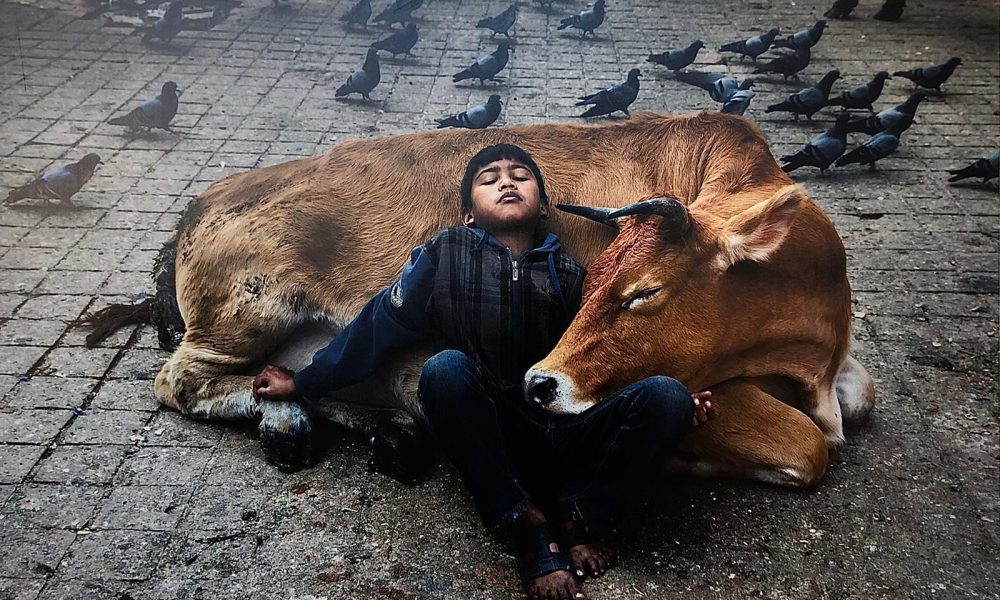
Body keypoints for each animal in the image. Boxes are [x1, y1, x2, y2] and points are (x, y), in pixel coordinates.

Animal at [82, 110, 872, 480]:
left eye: (643, 292)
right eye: (614, 287)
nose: (540, 385)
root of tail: (204, 199)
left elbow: (858, 400)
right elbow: (810, 444)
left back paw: (375, 428)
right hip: (248, 309)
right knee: (181, 380)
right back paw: (296, 422)